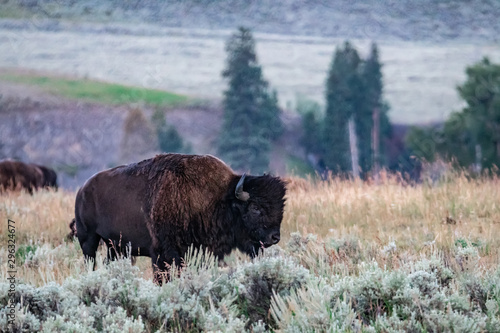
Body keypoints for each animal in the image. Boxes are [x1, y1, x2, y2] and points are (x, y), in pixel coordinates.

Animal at [73, 152, 288, 280]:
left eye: (281, 207)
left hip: (115, 247)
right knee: (90, 261)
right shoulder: (163, 254)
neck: (219, 199)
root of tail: (82, 189)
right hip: (88, 240)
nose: (274, 237)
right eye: (254, 207)